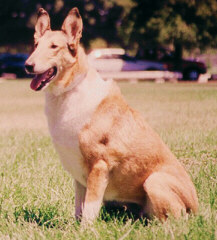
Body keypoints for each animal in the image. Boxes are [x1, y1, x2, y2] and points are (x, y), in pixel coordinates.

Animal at [25, 7, 198, 225]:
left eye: (54, 46)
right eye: (36, 45)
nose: (27, 65)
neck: (69, 91)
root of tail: (198, 209)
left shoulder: (99, 165)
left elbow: (89, 209)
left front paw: (85, 230)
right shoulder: (79, 175)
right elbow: (78, 207)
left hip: (154, 181)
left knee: (172, 220)